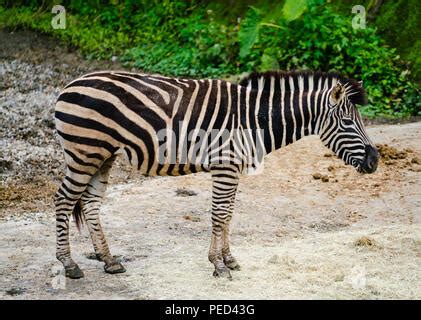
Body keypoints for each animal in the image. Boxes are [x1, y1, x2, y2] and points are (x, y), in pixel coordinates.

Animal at [52, 69, 378, 278]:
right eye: (348, 122)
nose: (375, 161)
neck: (255, 119)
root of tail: (69, 85)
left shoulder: (234, 168)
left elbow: (229, 213)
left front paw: (229, 259)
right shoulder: (225, 165)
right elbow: (220, 214)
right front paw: (218, 265)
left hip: (103, 155)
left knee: (90, 204)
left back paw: (109, 260)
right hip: (85, 152)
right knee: (63, 200)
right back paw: (68, 264)